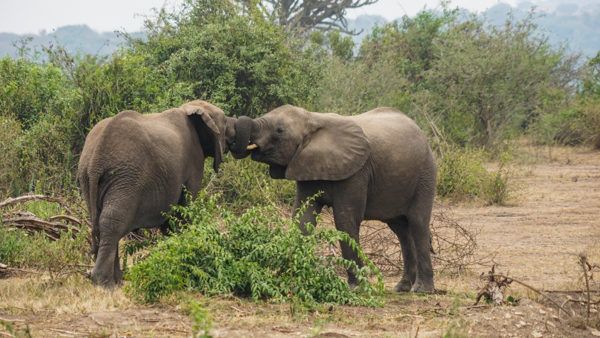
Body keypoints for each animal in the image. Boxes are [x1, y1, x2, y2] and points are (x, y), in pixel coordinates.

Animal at [75, 99, 234, 288]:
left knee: (101, 222)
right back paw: (106, 284)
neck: (190, 108)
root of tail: (96, 162)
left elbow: (171, 219)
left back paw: (117, 281)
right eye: (225, 123)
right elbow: (185, 208)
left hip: (88, 178)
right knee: (112, 222)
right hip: (126, 178)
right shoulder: (194, 158)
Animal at [230, 105, 436, 294]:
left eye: (279, 130)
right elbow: (303, 219)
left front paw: (356, 288)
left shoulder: (356, 172)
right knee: (401, 229)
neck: (313, 119)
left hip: (425, 175)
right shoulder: (305, 164)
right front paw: (291, 277)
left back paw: (422, 290)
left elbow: (345, 220)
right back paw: (402, 288)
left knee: (417, 223)